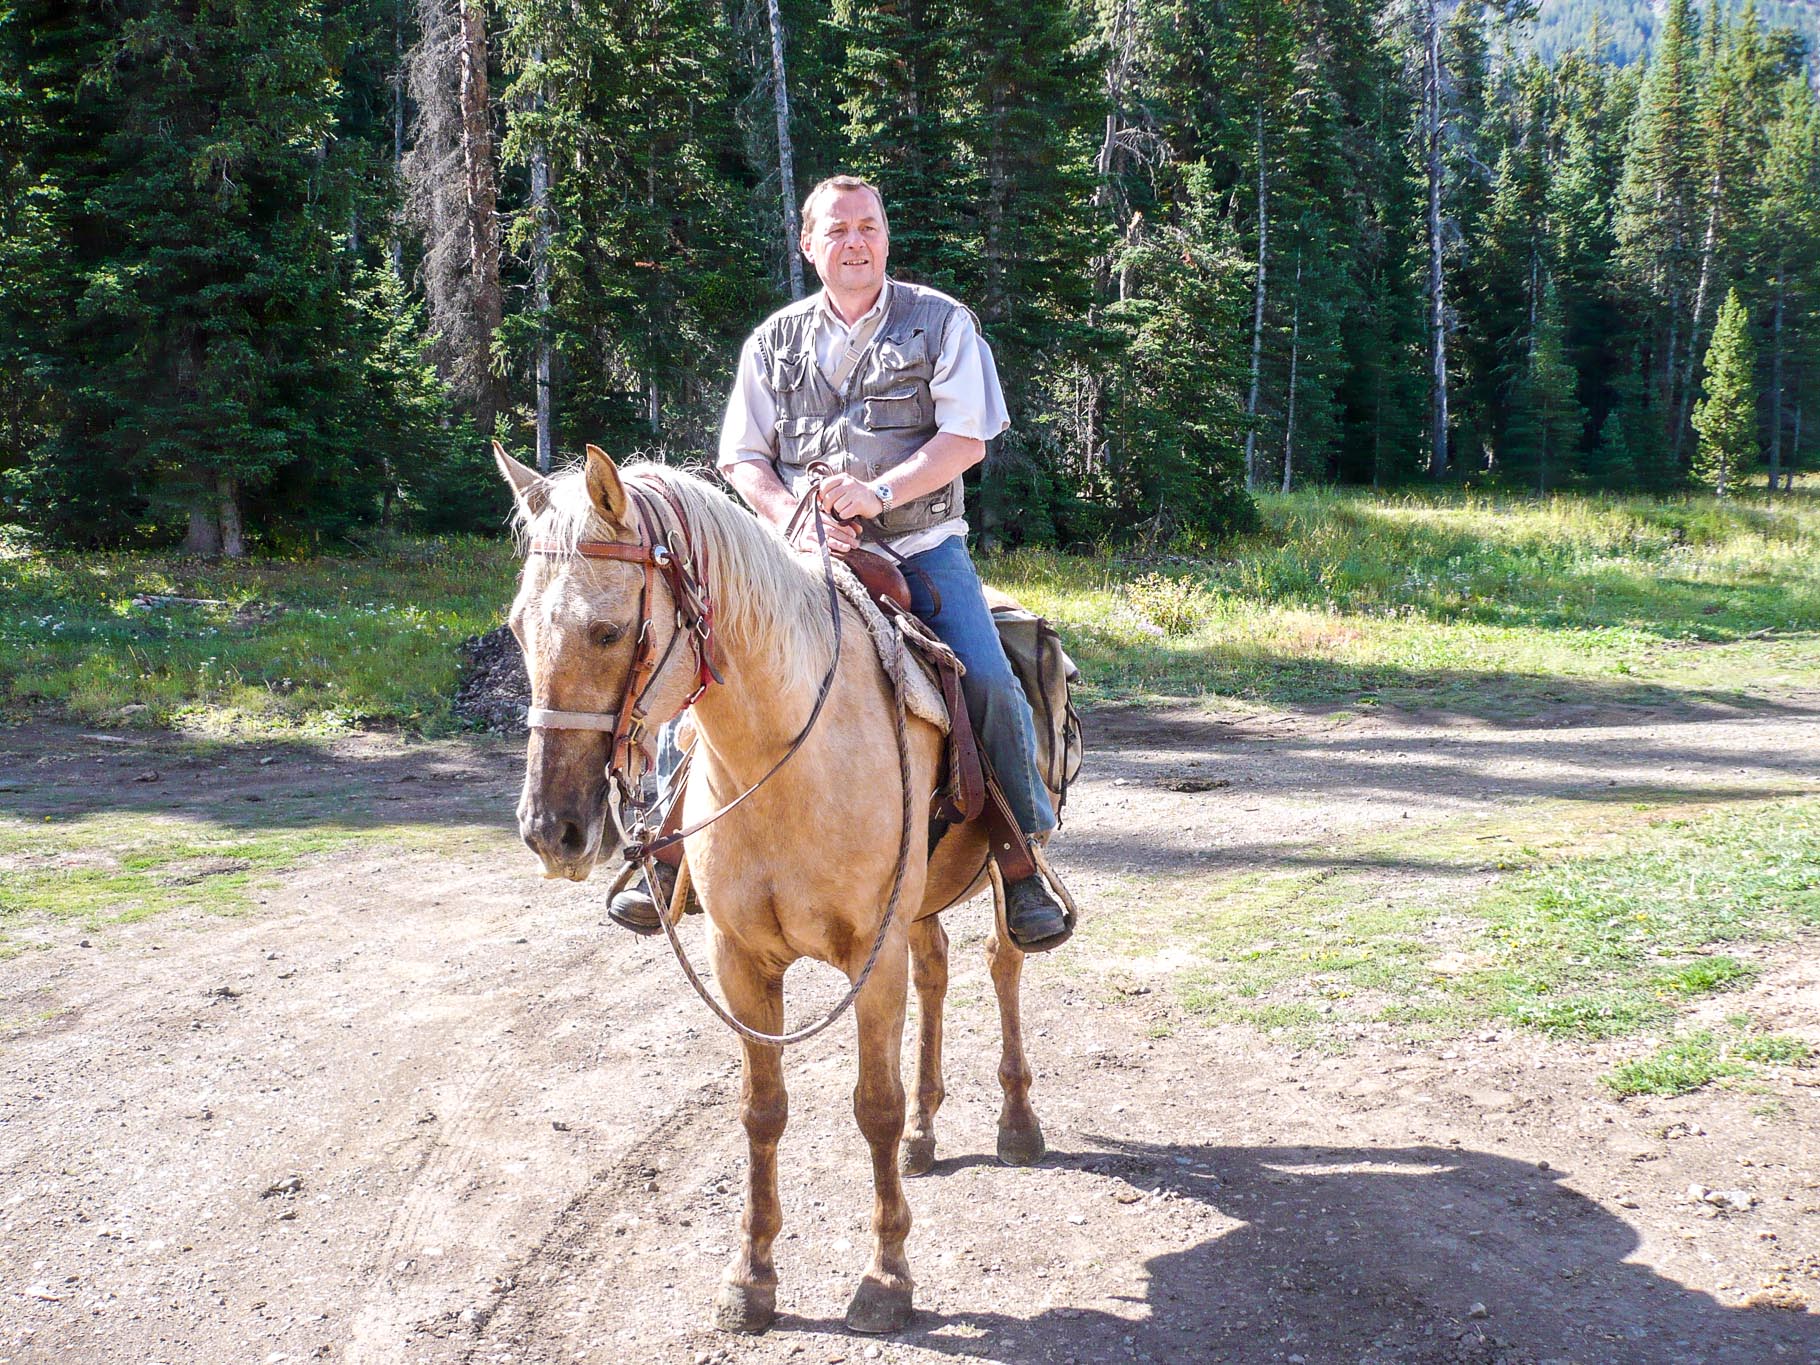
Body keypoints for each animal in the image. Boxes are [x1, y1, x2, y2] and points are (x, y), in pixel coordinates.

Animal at [494, 443, 1052, 1335]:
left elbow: (873, 1103)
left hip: (1005, 878)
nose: (552, 830)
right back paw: (927, 1135)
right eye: (518, 628)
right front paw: (750, 1278)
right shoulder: (741, 958)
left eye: (608, 629)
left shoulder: (871, 955)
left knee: (1004, 969)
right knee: (937, 973)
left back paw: (1017, 1122)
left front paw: (885, 1279)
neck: (787, 749)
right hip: (921, 905)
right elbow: (763, 1110)